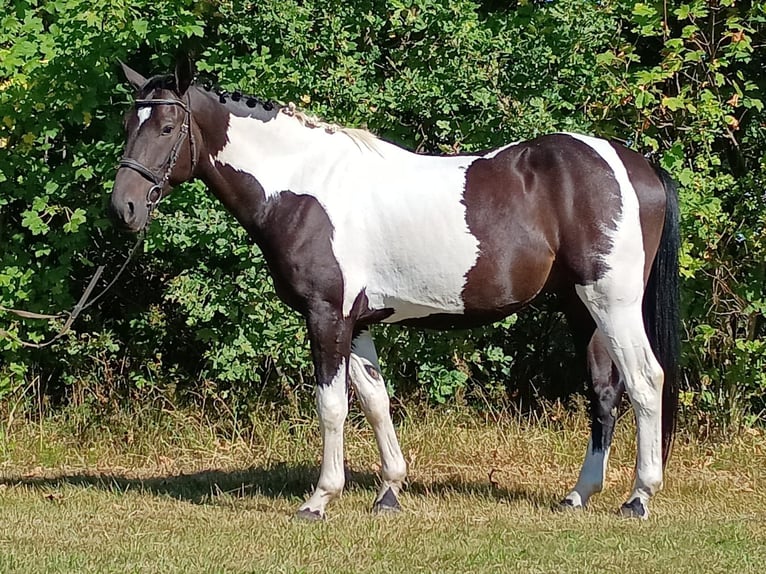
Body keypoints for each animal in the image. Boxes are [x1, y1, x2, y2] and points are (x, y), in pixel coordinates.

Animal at [110, 56, 680, 521]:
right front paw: (389, 491)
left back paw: (639, 497)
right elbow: (376, 400)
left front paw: (319, 499)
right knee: (604, 390)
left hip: (613, 303)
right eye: (128, 124)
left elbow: (332, 406)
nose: (124, 208)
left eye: (166, 127)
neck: (303, 186)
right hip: (582, 308)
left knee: (646, 381)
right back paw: (579, 495)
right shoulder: (359, 321)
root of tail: (634, 165)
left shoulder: (326, 315)